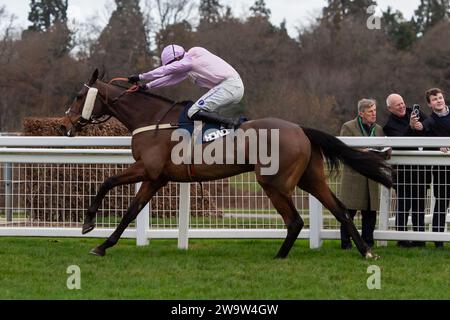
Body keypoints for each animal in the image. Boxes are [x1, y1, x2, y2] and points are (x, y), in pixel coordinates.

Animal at [60, 69, 394, 258]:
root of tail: (300, 128)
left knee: (296, 221)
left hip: (274, 182)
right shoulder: (157, 177)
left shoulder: (148, 169)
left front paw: (89, 224)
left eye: (77, 95)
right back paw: (366, 252)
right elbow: (132, 211)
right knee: (340, 210)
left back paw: (280, 256)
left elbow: (107, 183)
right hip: (311, 178)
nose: (64, 125)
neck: (152, 120)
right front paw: (104, 245)